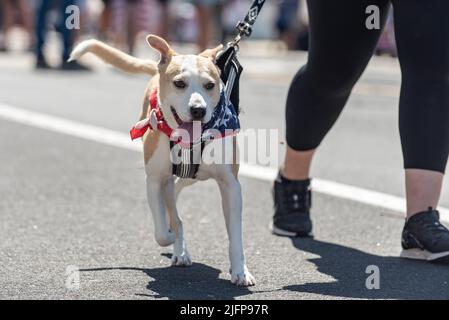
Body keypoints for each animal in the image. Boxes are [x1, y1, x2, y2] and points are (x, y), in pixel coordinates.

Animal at [68, 35, 254, 288]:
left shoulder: (230, 185)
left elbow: (235, 234)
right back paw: (179, 248)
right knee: (172, 204)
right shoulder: (155, 180)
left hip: (192, 178)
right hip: (170, 179)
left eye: (209, 85)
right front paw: (174, 236)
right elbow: (163, 231)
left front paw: (240, 271)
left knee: (176, 189)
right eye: (179, 83)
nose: (198, 109)